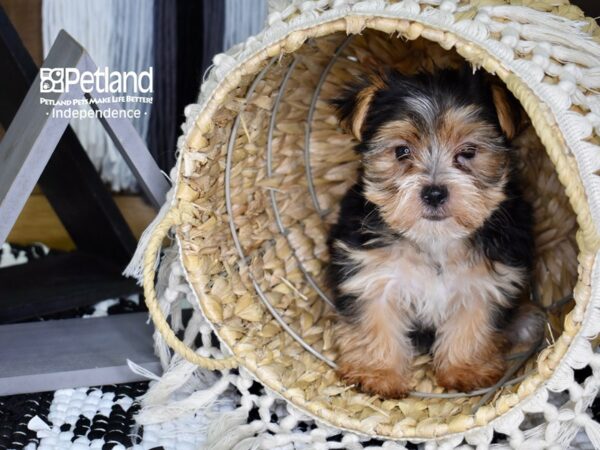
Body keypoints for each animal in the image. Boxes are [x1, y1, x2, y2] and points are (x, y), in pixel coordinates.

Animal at [328, 67, 544, 398]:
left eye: (468, 152)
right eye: (401, 151)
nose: (433, 192)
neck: (435, 238)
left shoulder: (485, 282)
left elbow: (473, 322)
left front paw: (465, 369)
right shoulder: (370, 273)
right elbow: (375, 320)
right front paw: (378, 373)